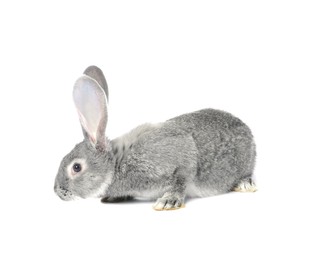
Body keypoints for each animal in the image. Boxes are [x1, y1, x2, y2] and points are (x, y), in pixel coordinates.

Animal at [54, 66, 258, 210]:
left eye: (76, 167)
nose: (57, 192)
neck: (117, 164)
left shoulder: (177, 158)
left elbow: (182, 177)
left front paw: (169, 201)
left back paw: (245, 184)